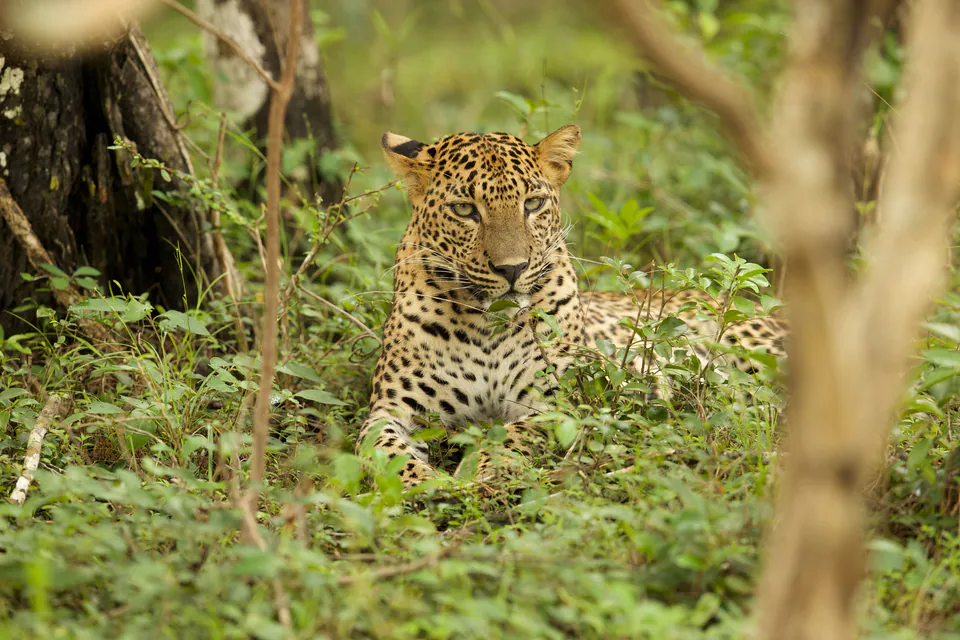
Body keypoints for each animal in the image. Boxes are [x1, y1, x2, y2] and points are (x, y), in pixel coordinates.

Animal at [356, 124, 787, 488]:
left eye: (532, 204)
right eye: (464, 210)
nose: (513, 268)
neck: (487, 327)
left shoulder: (561, 401)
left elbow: (514, 434)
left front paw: (481, 469)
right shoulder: (392, 409)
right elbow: (380, 447)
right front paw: (419, 482)